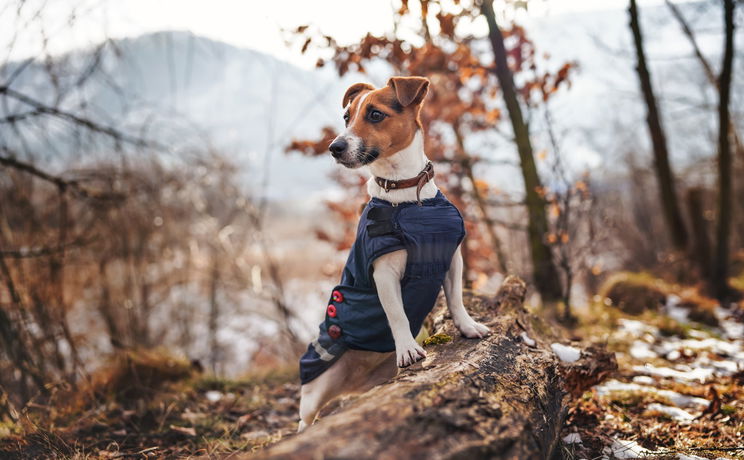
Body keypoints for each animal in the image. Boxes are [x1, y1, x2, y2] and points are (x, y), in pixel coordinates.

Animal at [294, 75, 492, 432]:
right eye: (346, 117)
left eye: (375, 114)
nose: (335, 147)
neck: (407, 192)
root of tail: (353, 382)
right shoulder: (383, 272)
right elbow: (397, 314)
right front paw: (407, 348)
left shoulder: (451, 259)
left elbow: (456, 299)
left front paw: (468, 326)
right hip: (317, 386)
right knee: (306, 419)